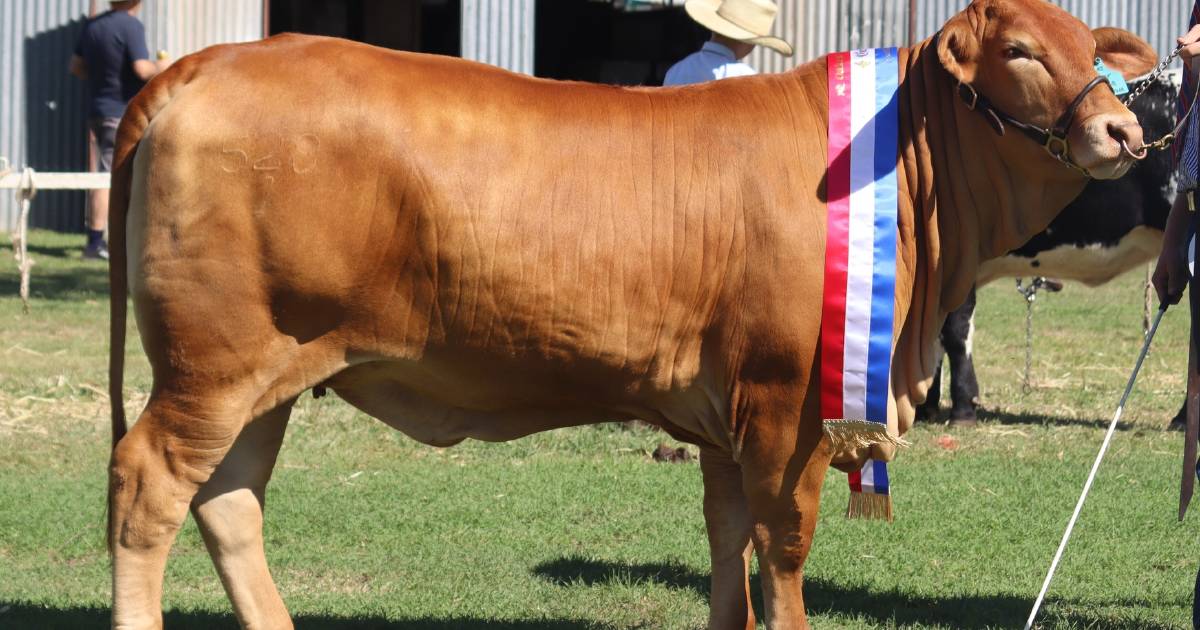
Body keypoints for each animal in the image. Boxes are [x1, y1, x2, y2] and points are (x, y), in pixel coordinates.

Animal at [108, 2, 1147, 624]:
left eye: (1096, 52)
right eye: (1020, 50)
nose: (1126, 129)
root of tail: (205, 63)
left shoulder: (728, 415)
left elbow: (728, 540)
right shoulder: (786, 403)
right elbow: (784, 545)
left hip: (264, 375)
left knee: (230, 503)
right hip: (214, 364)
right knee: (149, 488)